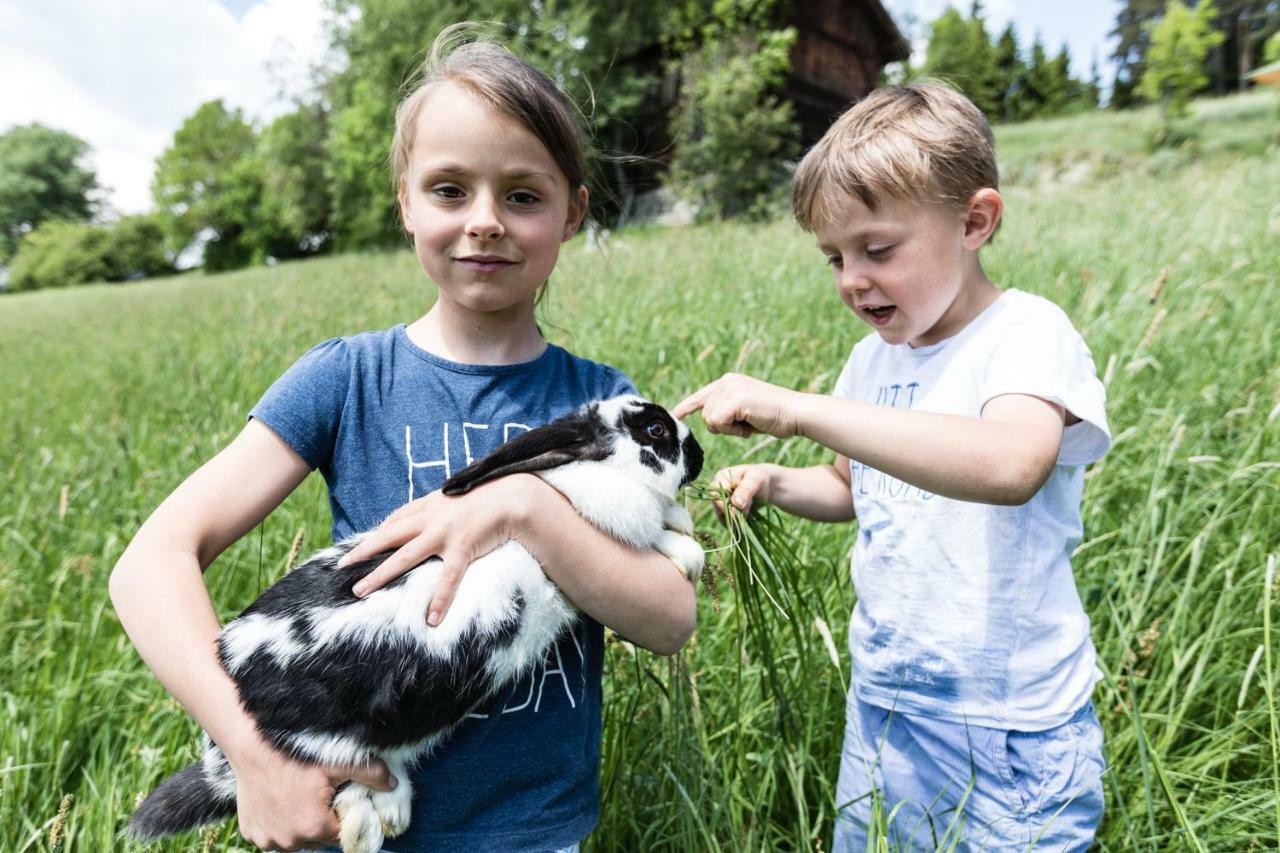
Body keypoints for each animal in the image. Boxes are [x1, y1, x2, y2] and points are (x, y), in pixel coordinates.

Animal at [124, 397, 706, 850]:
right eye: (655, 430)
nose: (698, 454)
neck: (579, 473)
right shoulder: (606, 516)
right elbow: (650, 533)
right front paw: (688, 549)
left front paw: (682, 530)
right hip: (328, 739)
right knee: (347, 780)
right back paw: (367, 829)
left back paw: (392, 812)